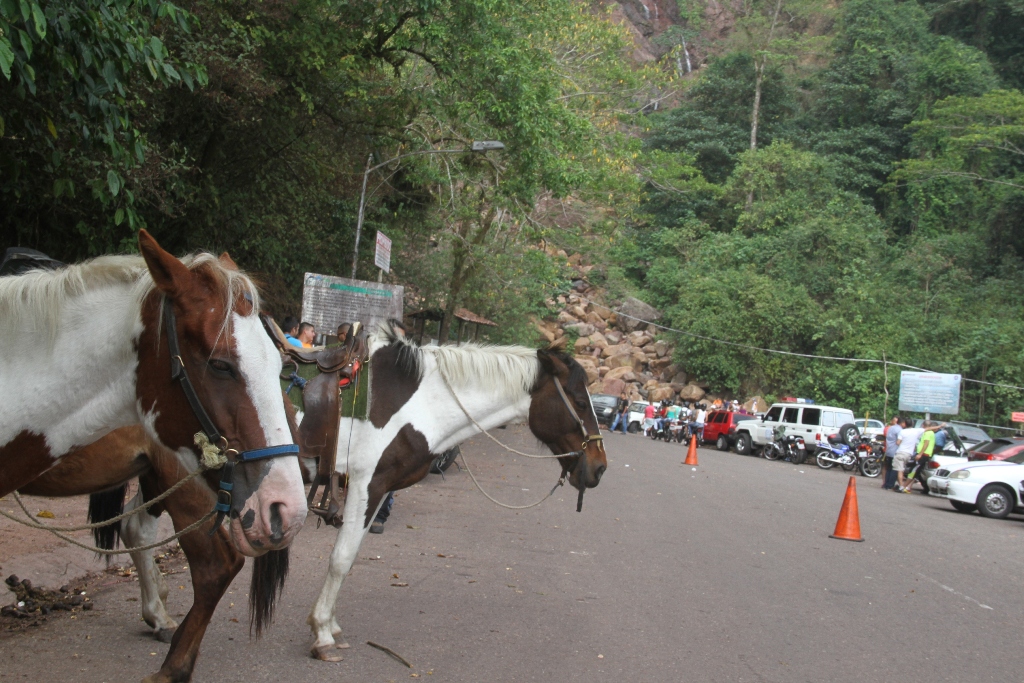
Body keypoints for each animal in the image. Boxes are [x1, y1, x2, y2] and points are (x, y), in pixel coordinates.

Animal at [303, 325, 606, 663]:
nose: (599, 467)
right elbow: (341, 559)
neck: (419, 404)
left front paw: (330, 625)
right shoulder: (365, 482)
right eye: (580, 402)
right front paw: (322, 633)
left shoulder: (377, 488)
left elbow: (351, 555)